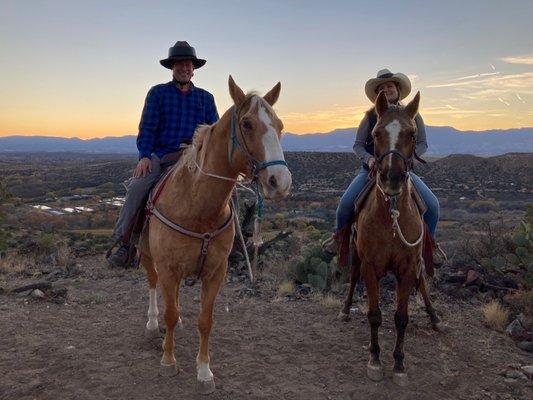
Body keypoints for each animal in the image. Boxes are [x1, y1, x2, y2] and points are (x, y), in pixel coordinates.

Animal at [137, 76, 290, 394]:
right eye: (247, 123)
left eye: (280, 125)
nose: (280, 182)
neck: (198, 208)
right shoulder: (168, 268)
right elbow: (169, 312)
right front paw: (168, 361)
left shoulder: (215, 272)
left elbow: (205, 320)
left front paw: (204, 371)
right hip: (148, 257)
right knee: (153, 286)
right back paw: (152, 324)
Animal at [340, 91, 440, 388]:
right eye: (376, 133)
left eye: (412, 133)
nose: (392, 178)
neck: (391, 215)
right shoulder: (370, 267)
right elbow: (375, 316)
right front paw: (374, 360)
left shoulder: (406, 268)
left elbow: (401, 318)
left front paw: (399, 363)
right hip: (356, 255)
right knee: (352, 276)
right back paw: (345, 310)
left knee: (423, 281)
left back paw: (434, 316)